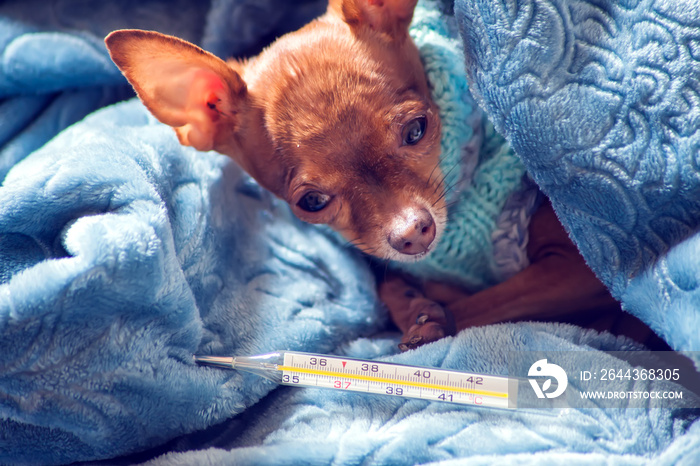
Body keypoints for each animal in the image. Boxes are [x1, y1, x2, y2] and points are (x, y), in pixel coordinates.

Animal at [106, 0, 632, 350]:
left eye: (417, 130)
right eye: (312, 202)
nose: (412, 233)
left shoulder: (578, 269)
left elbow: (480, 305)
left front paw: (429, 319)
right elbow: (388, 282)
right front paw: (415, 304)